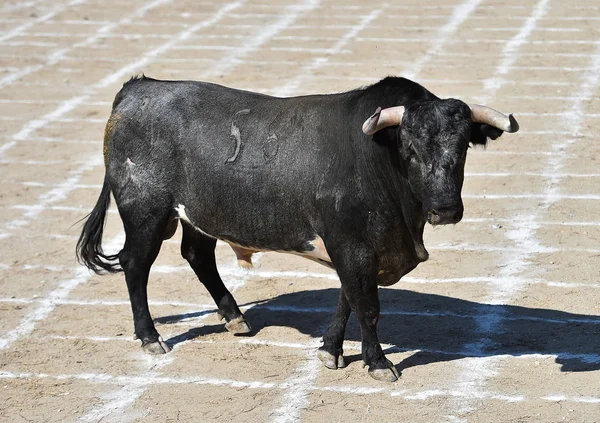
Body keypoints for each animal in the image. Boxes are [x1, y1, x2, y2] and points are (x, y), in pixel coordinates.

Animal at [77, 76, 516, 384]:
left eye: (462, 148)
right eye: (409, 149)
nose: (446, 210)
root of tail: (138, 88)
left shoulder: (356, 249)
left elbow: (348, 298)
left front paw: (330, 350)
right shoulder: (352, 245)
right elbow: (367, 306)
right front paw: (377, 362)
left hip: (198, 214)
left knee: (197, 256)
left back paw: (235, 317)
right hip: (145, 213)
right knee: (136, 264)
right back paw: (151, 337)